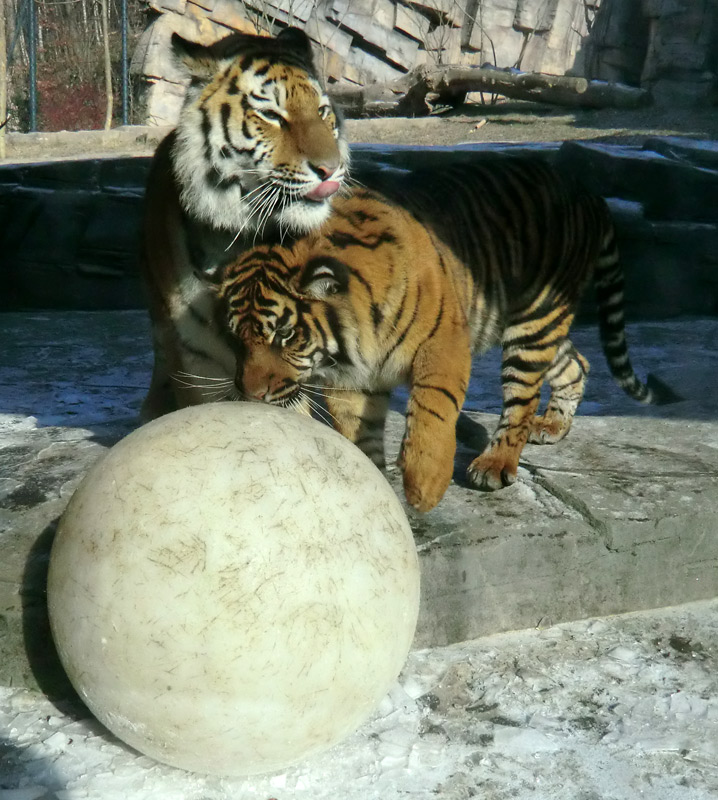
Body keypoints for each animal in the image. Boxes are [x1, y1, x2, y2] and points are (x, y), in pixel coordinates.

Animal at [191, 158, 680, 512]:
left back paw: (495, 463)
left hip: (535, 321)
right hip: (535, 324)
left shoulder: (442, 344)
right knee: (577, 363)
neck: (352, 345)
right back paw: (554, 426)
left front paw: (424, 487)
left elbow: (431, 412)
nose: (249, 394)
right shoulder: (352, 381)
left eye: (285, 335)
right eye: (236, 338)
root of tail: (583, 188)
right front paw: (372, 481)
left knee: (523, 397)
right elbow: (358, 432)